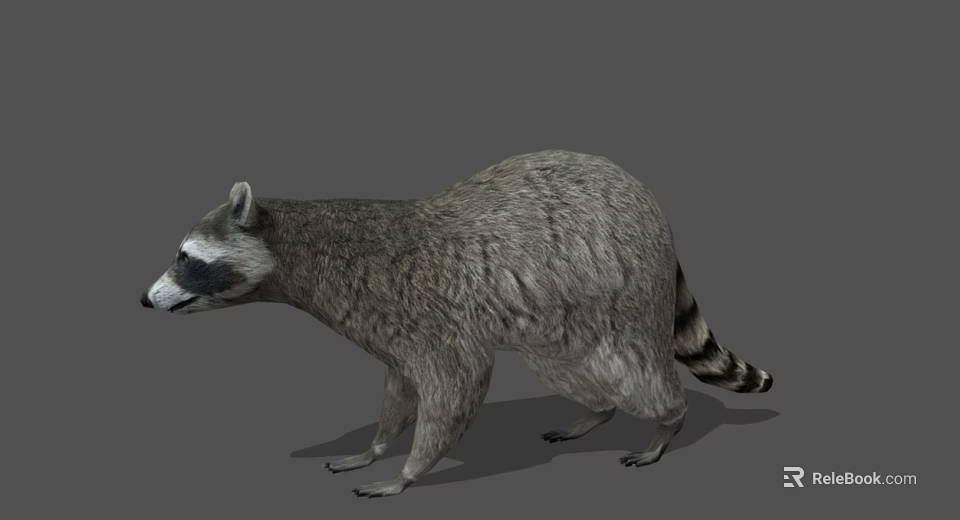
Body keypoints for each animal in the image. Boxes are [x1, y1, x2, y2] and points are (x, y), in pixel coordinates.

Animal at [140, 150, 773, 498]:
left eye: (186, 257)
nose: (144, 300)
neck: (298, 244)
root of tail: (649, 203)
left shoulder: (421, 305)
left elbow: (456, 378)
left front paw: (409, 471)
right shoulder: (387, 323)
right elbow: (401, 385)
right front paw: (377, 446)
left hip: (622, 286)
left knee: (633, 363)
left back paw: (668, 421)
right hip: (563, 318)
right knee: (567, 366)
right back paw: (596, 410)